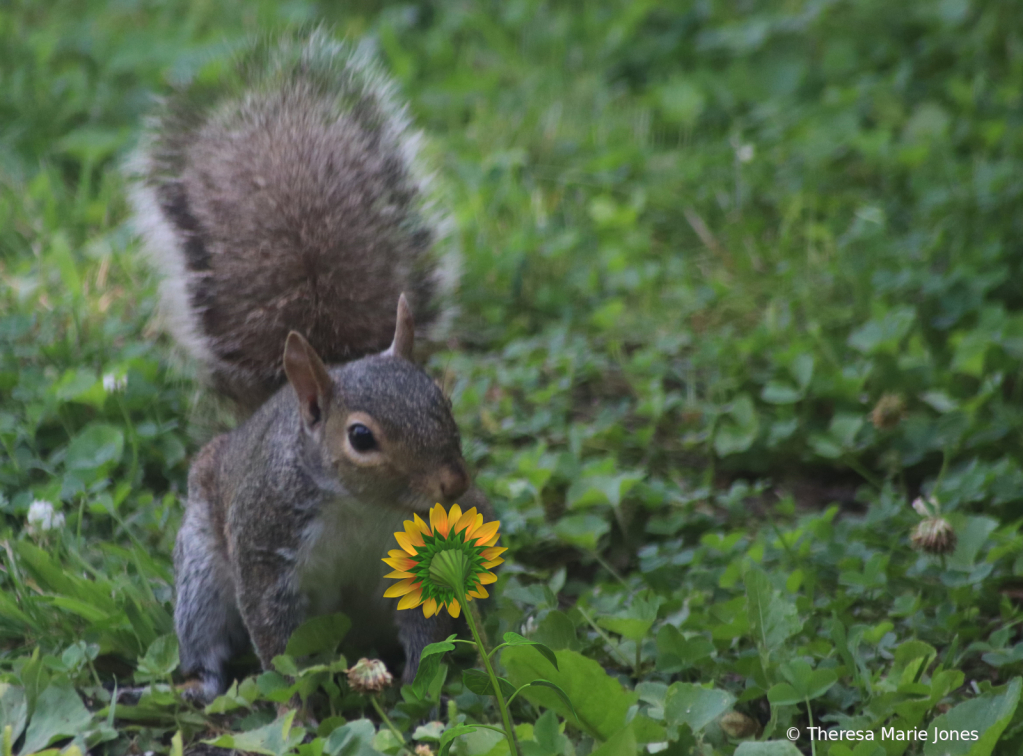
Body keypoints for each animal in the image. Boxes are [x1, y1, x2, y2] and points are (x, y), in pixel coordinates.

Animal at [125, 29, 493, 703]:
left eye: (443, 400)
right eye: (360, 437)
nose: (453, 485)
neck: (362, 509)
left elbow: (428, 626)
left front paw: (420, 685)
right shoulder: (266, 553)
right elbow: (279, 644)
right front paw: (300, 706)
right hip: (202, 570)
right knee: (207, 634)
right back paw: (202, 683)